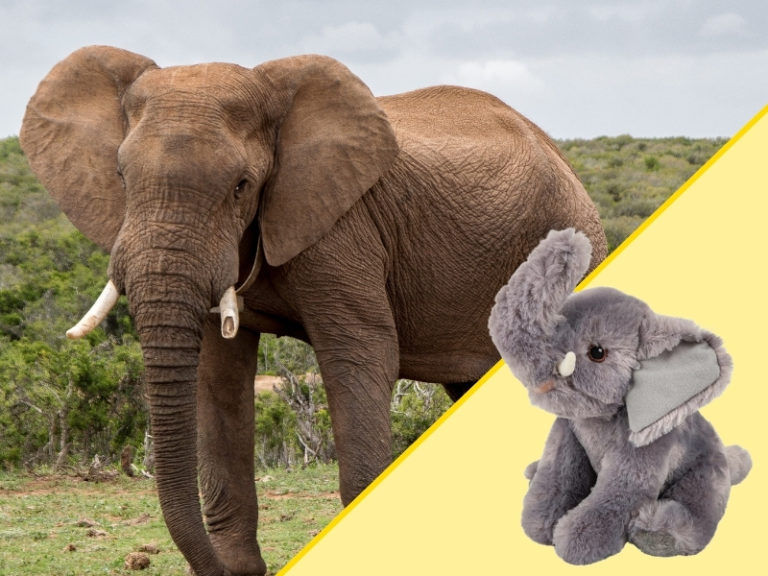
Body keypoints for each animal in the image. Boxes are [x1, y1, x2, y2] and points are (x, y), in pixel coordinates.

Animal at [20, 46, 607, 576]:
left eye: (241, 187)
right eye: (121, 178)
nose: (216, 569)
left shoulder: (342, 228)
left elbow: (361, 355)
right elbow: (217, 374)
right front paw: (240, 569)